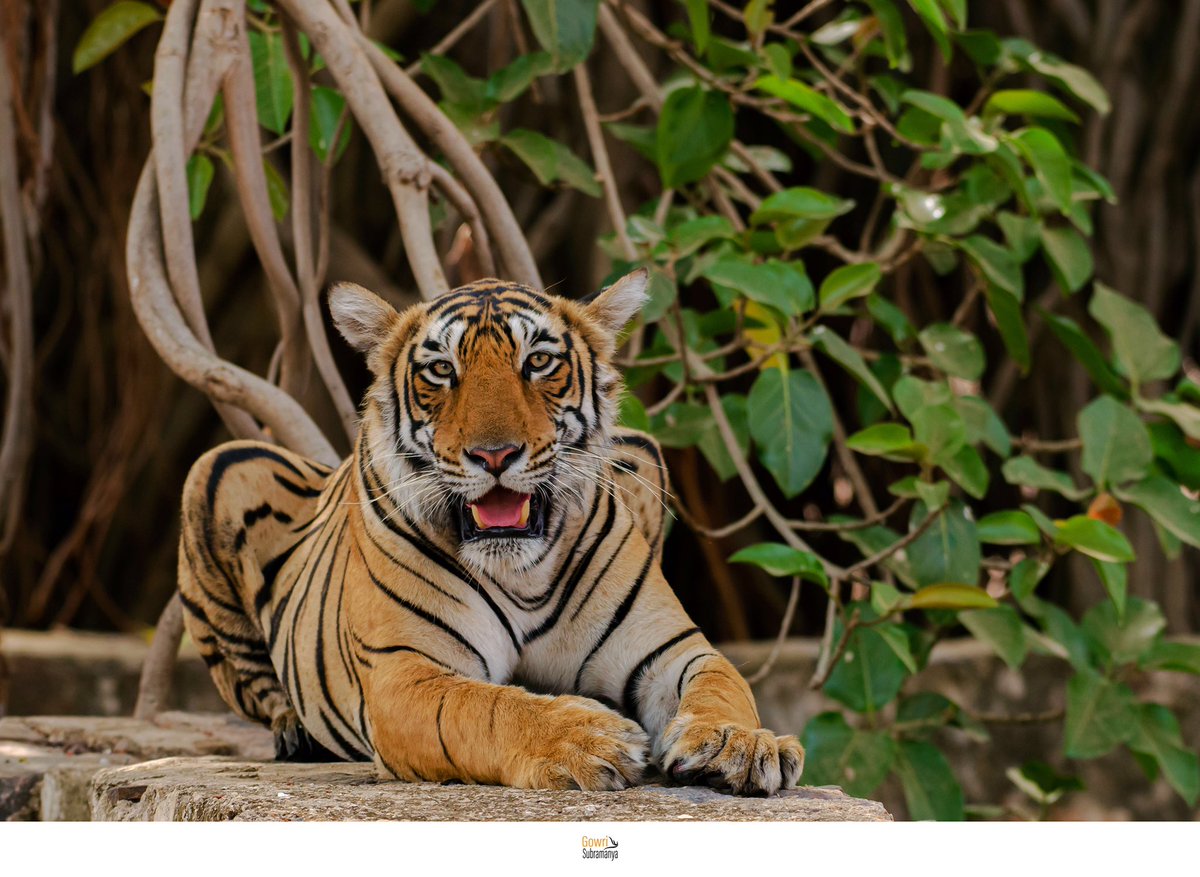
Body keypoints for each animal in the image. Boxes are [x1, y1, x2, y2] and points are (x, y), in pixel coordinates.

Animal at [177, 270, 805, 796]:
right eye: (441, 371)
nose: (495, 455)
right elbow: (488, 710)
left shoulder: (667, 648)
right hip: (218, 466)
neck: (522, 572)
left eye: (538, 362)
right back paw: (294, 732)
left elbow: (722, 681)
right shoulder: (405, 672)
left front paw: (740, 744)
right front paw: (591, 739)